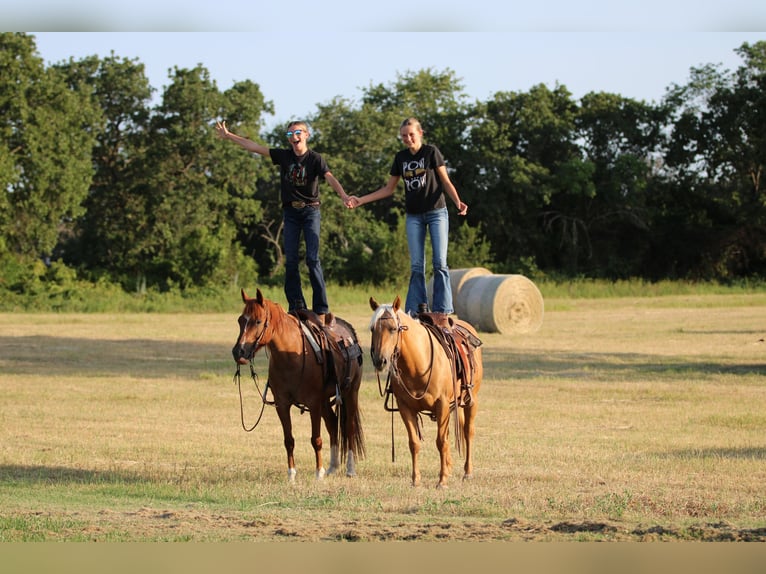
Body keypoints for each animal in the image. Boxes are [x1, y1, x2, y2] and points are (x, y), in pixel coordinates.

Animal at [232, 288, 365, 482]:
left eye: (258, 321)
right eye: (240, 320)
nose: (239, 352)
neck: (290, 354)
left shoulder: (313, 403)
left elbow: (316, 439)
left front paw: (318, 473)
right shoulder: (282, 404)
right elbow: (289, 440)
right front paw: (292, 475)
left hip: (350, 393)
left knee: (349, 428)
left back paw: (350, 469)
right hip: (325, 401)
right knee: (333, 424)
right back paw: (333, 467)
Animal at [369, 295, 483, 488]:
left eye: (393, 329)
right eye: (372, 329)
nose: (380, 360)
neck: (418, 363)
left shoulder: (442, 403)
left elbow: (441, 442)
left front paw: (442, 481)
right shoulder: (405, 407)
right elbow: (414, 443)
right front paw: (416, 480)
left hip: (471, 400)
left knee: (468, 431)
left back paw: (467, 472)